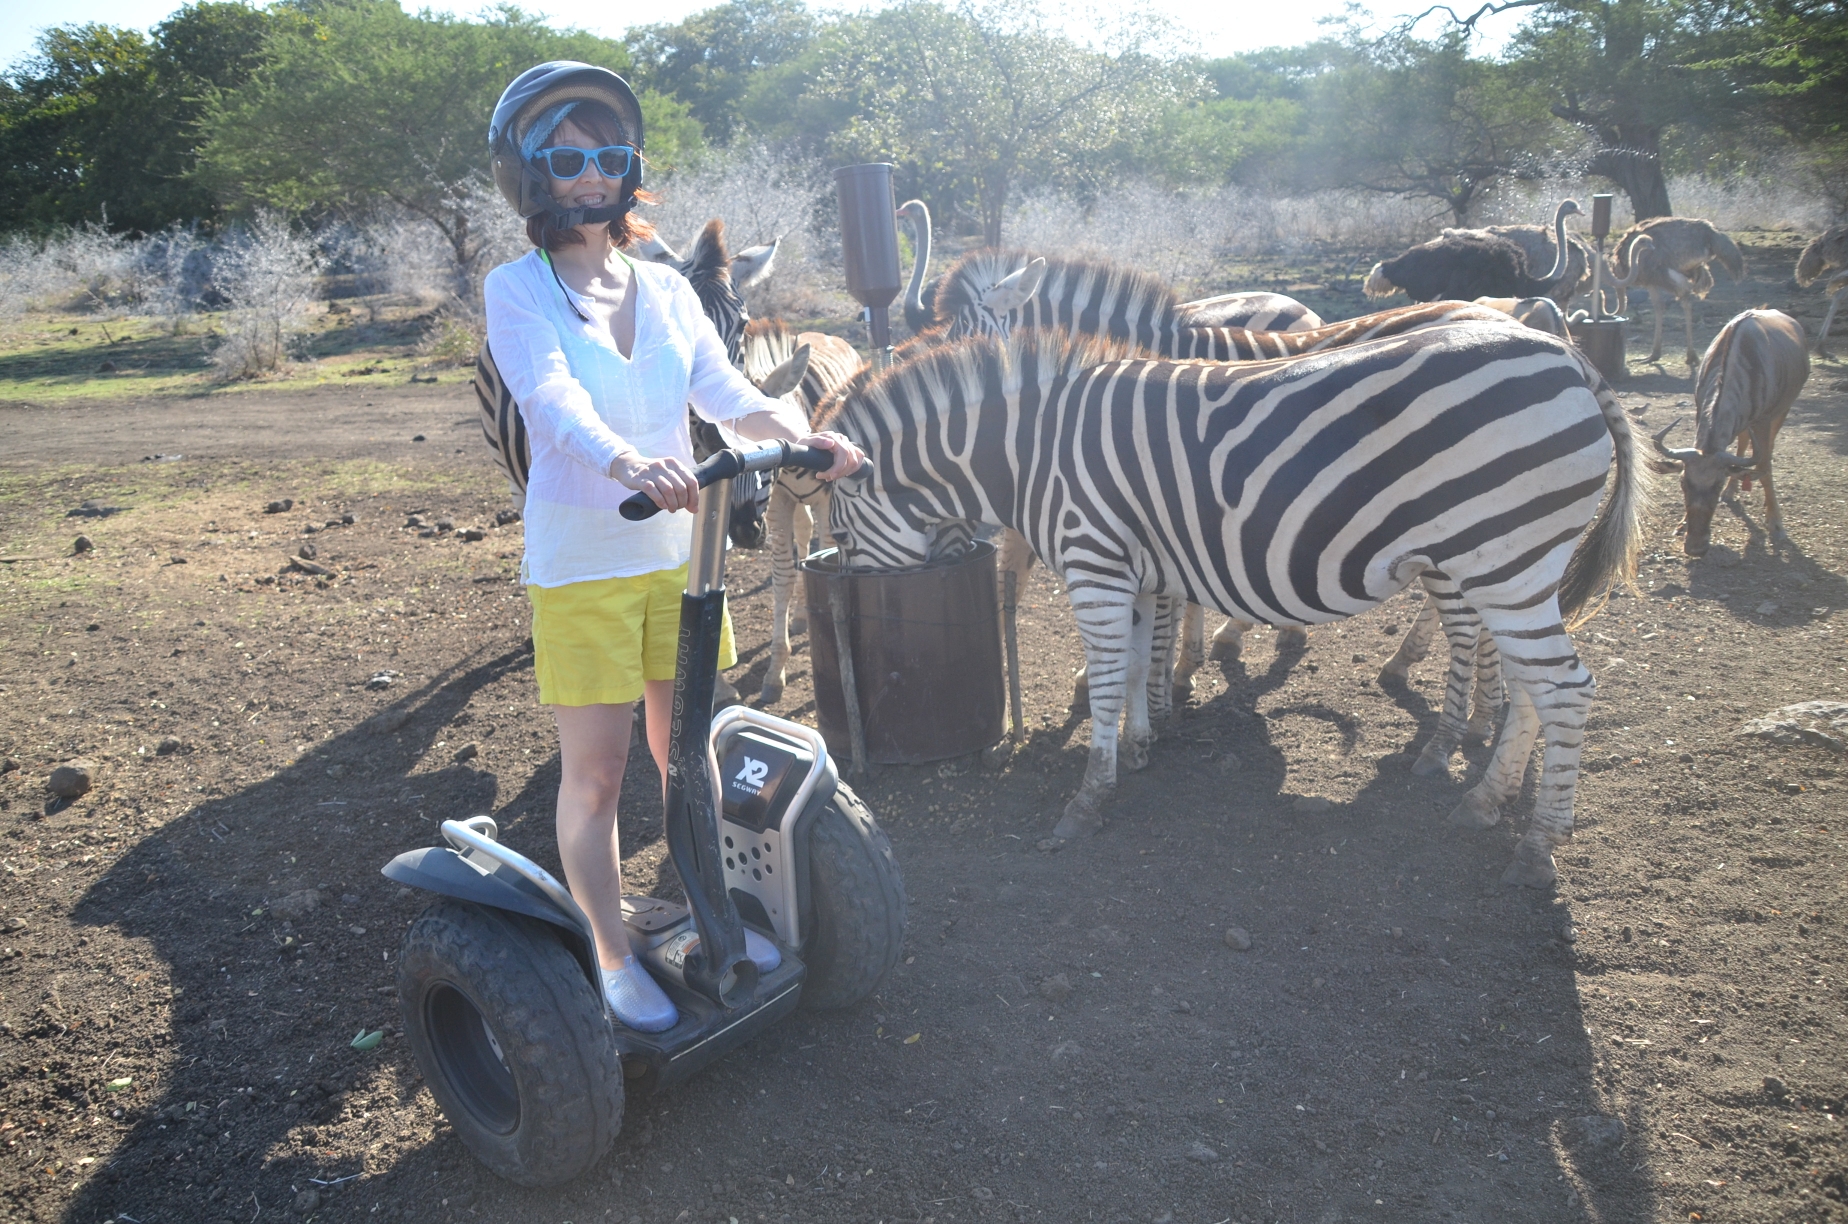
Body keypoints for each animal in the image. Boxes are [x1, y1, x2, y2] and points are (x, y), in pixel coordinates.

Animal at [739, 316, 868, 706]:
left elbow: (823, 556)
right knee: (803, 532)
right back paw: (797, 618)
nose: (744, 532)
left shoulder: (828, 501)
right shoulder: (778, 503)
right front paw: (775, 672)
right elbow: (783, 574)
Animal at [824, 321, 1648, 887]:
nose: (849, 593)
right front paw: (1141, 746)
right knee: (1531, 690)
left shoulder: (1094, 560)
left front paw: (1088, 799)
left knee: (1567, 689)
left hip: (1505, 558)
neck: (1030, 453)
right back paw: (1483, 801)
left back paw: (1538, 848)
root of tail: (1564, 352)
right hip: (1509, 566)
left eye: (836, 525)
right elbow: (1135, 669)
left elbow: (1107, 682)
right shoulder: (1134, 571)